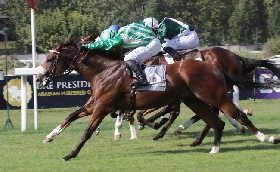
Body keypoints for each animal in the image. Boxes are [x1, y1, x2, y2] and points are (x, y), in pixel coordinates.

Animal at [36, 38, 278, 161]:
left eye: (49, 59)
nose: (39, 78)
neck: (104, 70)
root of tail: (215, 66)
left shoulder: (103, 106)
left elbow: (87, 130)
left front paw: (70, 154)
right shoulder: (96, 104)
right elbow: (70, 116)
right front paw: (49, 137)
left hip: (214, 96)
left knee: (237, 114)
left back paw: (266, 138)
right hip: (195, 100)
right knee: (216, 121)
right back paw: (211, 147)